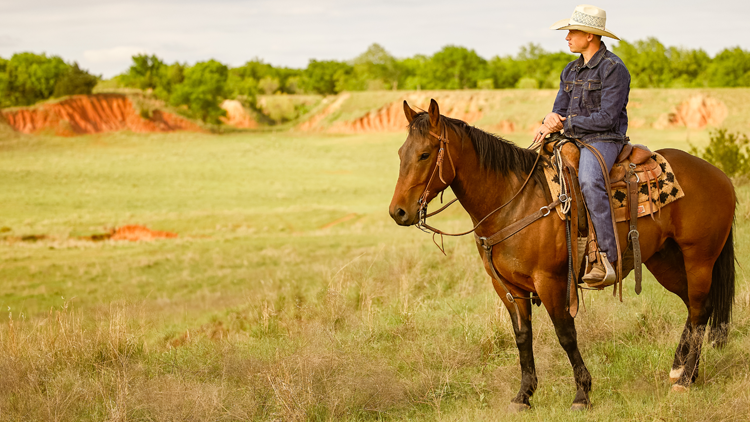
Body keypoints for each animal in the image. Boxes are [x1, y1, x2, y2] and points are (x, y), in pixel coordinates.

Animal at [390, 98, 736, 408]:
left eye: (424, 154)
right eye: (400, 153)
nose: (398, 212)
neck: (512, 201)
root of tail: (720, 175)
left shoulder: (551, 281)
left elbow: (565, 333)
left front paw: (582, 394)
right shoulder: (507, 287)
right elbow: (522, 336)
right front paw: (524, 395)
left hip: (699, 258)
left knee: (699, 309)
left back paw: (684, 379)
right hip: (663, 260)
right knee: (695, 307)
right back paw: (683, 372)